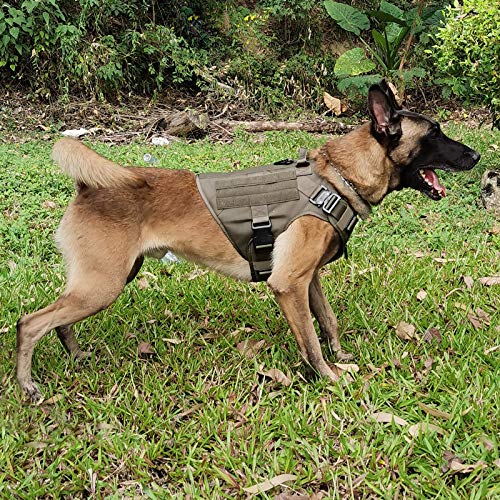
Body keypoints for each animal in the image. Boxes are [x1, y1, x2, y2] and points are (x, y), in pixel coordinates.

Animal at [16, 82, 480, 402]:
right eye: (434, 134)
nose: (476, 157)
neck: (337, 177)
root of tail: (88, 186)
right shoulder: (288, 285)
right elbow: (311, 341)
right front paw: (328, 377)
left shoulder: (308, 279)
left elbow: (327, 322)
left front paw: (342, 358)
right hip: (103, 285)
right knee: (30, 323)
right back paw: (27, 384)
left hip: (107, 281)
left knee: (59, 321)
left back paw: (75, 356)